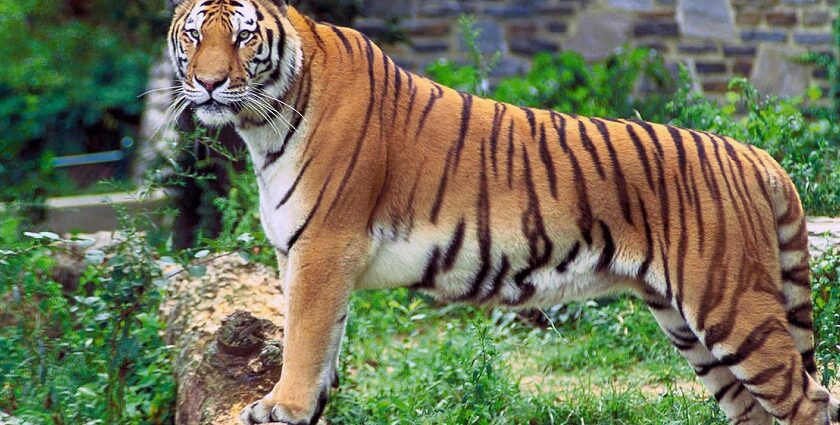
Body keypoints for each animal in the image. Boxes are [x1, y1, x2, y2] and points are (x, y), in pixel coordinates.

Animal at [166, 0, 840, 422]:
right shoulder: (305, 254)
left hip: (731, 305)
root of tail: (753, 153)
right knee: (757, 409)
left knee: (812, 400)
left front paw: (283, 406)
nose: (208, 84)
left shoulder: (324, 246)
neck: (262, 123)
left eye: (244, 36)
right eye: (194, 35)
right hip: (688, 325)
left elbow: (304, 338)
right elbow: (323, 338)